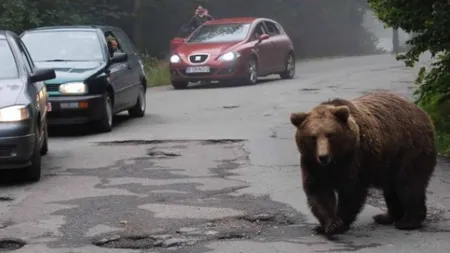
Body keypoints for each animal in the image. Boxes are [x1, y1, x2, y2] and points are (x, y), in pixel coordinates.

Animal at [292, 91, 436, 237]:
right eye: (313, 137)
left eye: (330, 135)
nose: (323, 156)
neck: (335, 161)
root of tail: (421, 111)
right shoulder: (312, 164)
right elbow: (319, 191)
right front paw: (328, 225)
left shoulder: (354, 159)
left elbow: (351, 191)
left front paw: (341, 223)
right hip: (388, 162)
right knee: (391, 189)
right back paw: (385, 217)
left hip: (408, 150)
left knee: (409, 184)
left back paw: (407, 222)